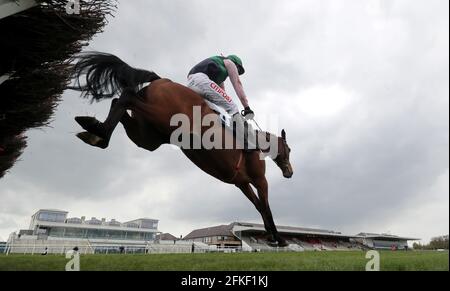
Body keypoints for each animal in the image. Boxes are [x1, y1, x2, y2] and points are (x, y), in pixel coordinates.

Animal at [70, 52, 294, 246]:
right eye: (289, 150)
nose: (290, 172)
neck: (257, 144)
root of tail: (162, 80)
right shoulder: (259, 180)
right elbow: (266, 207)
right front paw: (278, 239)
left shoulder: (242, 183)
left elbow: (259, 206)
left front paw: (272, 236)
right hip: (163, 117)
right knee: (126, 97)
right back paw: (97, 130)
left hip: (148, 137)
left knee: (120, 103)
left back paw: (95, 130)